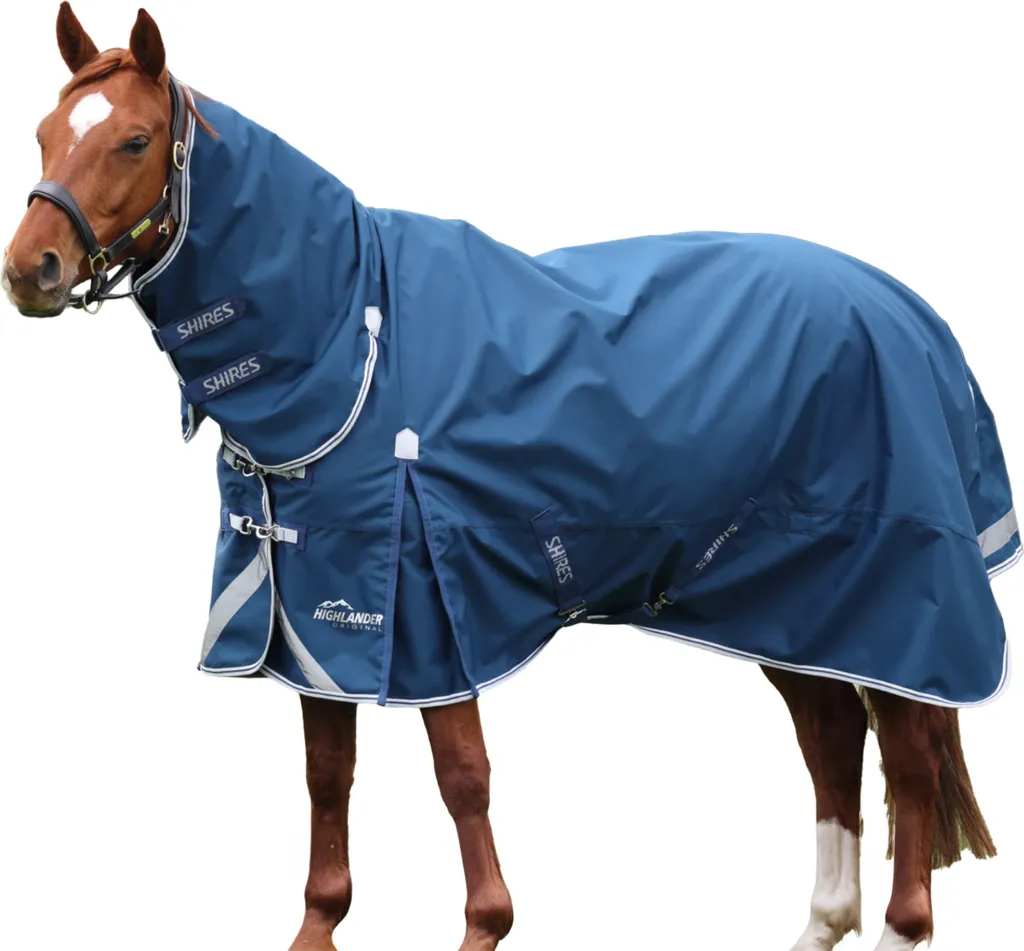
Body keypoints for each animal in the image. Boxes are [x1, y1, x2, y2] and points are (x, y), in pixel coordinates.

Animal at [4, 6, 1018, 951]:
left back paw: (899, 924)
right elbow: (328, 777)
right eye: (45, 134)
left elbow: (463, 778)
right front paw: (319, 923)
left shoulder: (430, 611)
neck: (348, 333)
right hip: (790, 604)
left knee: (910, 756)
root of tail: (907, 310)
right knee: (832, 735)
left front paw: (484, 923)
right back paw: (820, 921)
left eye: (135, 139)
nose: (29, 269)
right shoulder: (313, 618)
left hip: (897, 598)